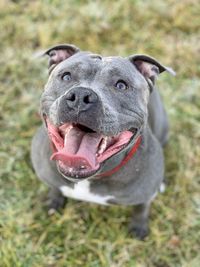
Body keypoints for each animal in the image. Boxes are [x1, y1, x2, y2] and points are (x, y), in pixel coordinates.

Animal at [30, 43, 174, 240]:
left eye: (121, 85)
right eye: (66, 76)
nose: (81, 96)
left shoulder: (145, 195)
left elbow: (141, 208)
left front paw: (139, 227)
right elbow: (55, 187)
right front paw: (53, 202)